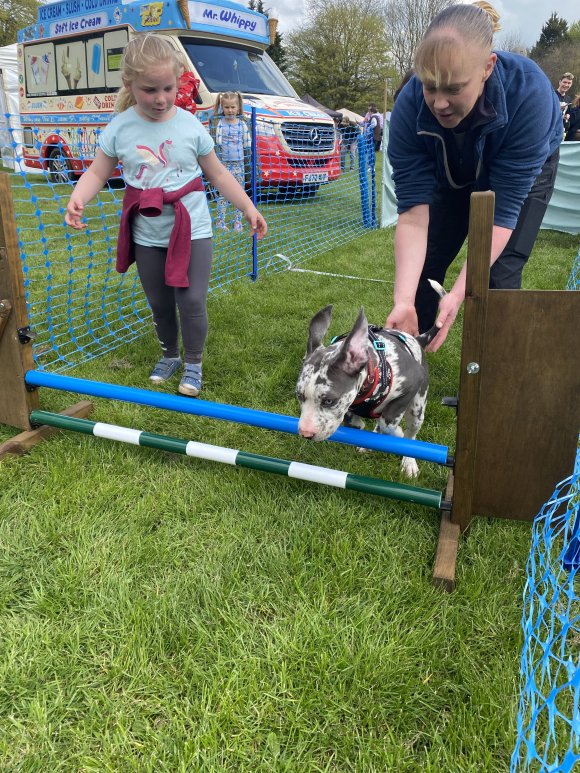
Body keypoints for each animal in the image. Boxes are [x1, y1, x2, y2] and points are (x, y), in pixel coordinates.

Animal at [300, 300, 440, 476]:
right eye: (299, 396)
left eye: (329, 401)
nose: (305, 433)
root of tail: (417, 339)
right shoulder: (350, 406)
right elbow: (356, 424)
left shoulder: (413, 381)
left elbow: (388, 424)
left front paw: (397, 432)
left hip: (417, 408)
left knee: (411, 436)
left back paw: (409, 462)